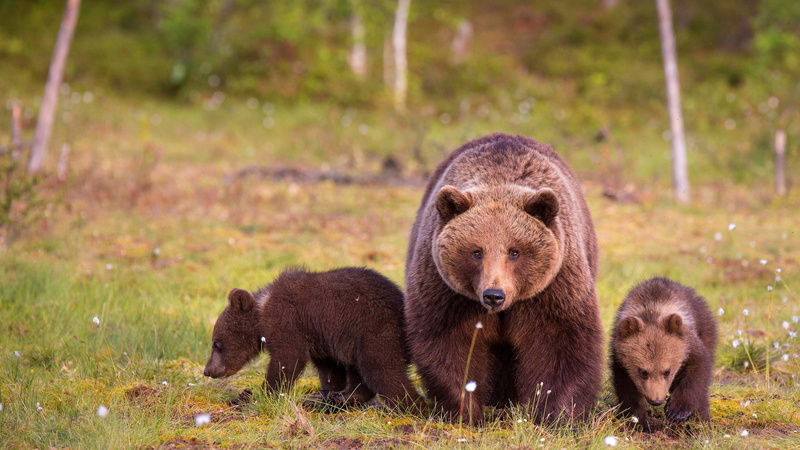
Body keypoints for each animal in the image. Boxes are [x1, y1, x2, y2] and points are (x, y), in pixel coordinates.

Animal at [203, 267, 423, 410]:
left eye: (216, 343)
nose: (208, 370)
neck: (261, 311)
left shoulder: (288, 320)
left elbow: (288, 358)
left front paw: (262, 394)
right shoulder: (319, 340)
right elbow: (329, 370)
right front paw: (328, 393)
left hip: (377, 331)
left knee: (382, 370)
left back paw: (412, 407)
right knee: (360, 372)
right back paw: (343, 396)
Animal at [404, 133, 603, 425]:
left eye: (515, 251)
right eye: (476, 251)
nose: (494, 295)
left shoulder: (553, 287)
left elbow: (561, 341)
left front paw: (558, 414)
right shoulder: (449, 292)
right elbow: (450, 343)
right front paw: (465, 411)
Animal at [610, 277, 717, 431]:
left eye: (667, 371)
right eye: (643, 371)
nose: (656, 400)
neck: (652, 309)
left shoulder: (689, 344)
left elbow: (698, 369)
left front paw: (677, 410)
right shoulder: (619, 357)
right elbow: (626, 387)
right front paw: (638, 420)